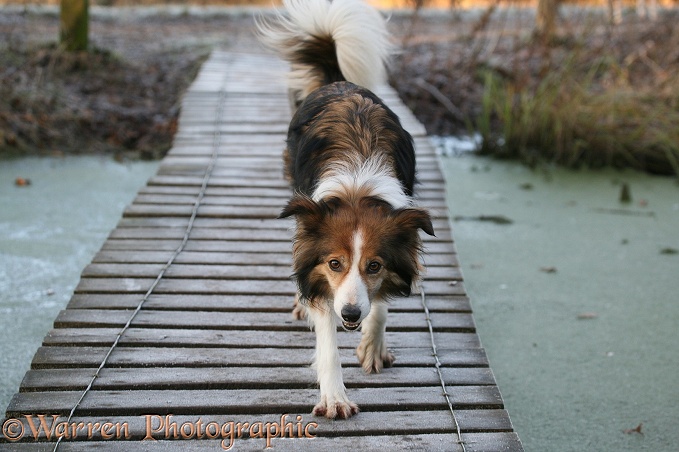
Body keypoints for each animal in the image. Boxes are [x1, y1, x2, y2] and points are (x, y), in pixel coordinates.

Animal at [258, 0, 432, 420]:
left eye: (375, 265)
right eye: (334, 263)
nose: (351, 315)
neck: (358, 189)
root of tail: (338, 81)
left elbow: (381, 306)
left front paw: (373, 345)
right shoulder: (324, 282)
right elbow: (327, 340)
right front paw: (335, 397)